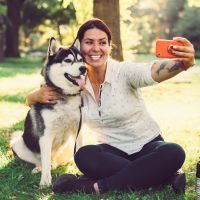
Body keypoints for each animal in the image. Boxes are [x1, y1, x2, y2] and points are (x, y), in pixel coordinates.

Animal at [10, 37, 86, 186]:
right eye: (68, 60)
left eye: (81, 60)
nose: (84, 68)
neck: (64, 96)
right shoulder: (45, 135)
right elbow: (45, 159)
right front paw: (45, 180)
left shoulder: (78, 130)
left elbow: (80, 152)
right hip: (18, 143)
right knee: (41, 161)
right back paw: (39, 168)